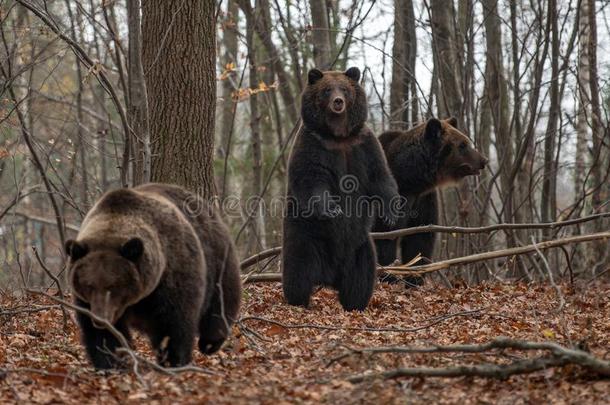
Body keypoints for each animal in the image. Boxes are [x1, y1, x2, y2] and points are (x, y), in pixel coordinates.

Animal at [63, 183, 240, 370]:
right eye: (89, 285)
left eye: (114, 286)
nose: (100, 319)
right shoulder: (87, 302)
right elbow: (101, 337)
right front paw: (111, 363)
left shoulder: (171, 277)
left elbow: (174, 326)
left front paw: (173, 361)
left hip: (217, 258)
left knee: (222, 300)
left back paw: (210, 343)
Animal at [282, 68, 400, 310]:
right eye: (327, 89)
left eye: (344, 89)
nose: (338, 102)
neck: (338, 136)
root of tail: (329, 278)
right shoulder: (313, 144)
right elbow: (311, 178)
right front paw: (331, 208)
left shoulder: (364, 144)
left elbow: (380, 177)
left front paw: (390, 215)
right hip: (306, 236)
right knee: (298, 269)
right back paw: (299, 301)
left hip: (359, 247)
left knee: (362, 275)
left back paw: (355, 304)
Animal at [370, 116, 484, 284]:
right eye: (462, 145)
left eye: (467, 141)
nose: (484, 160)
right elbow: (384, 236)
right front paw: (388, 275)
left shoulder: (423, 199)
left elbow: (420, 239)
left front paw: (415, 277)